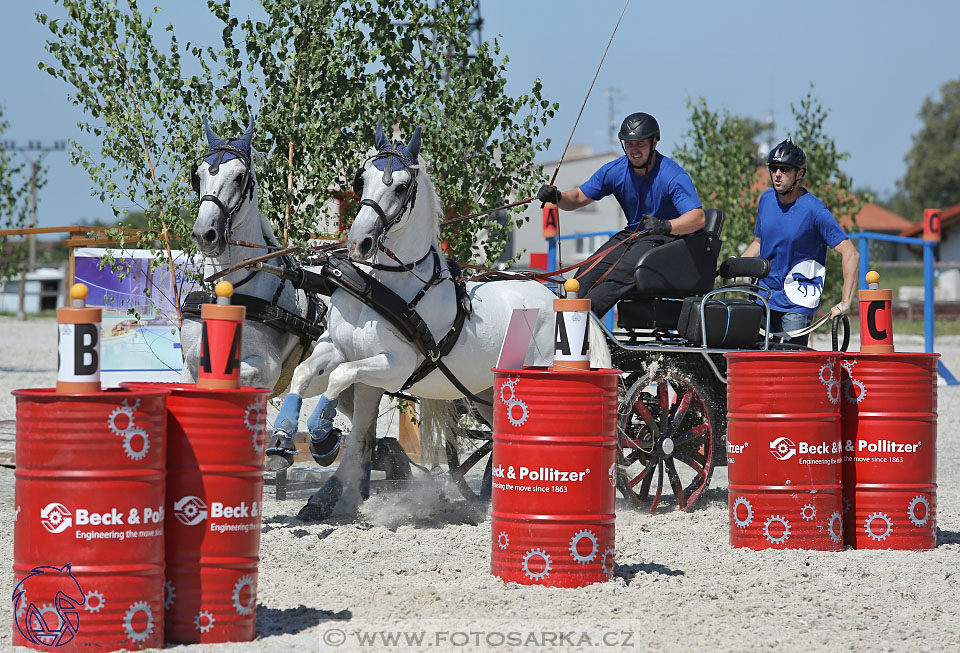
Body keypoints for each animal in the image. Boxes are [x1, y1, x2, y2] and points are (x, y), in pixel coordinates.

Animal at [278, 121, 568, 520]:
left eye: (401, 186)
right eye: (360, 180)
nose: (359, 242)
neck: (380, 285)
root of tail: (551, 293)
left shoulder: (394, 367)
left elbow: (340, 377)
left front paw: (322, 437)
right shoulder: (338, 348)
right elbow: (305, 372)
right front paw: (283, 435)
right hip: (483, 392)